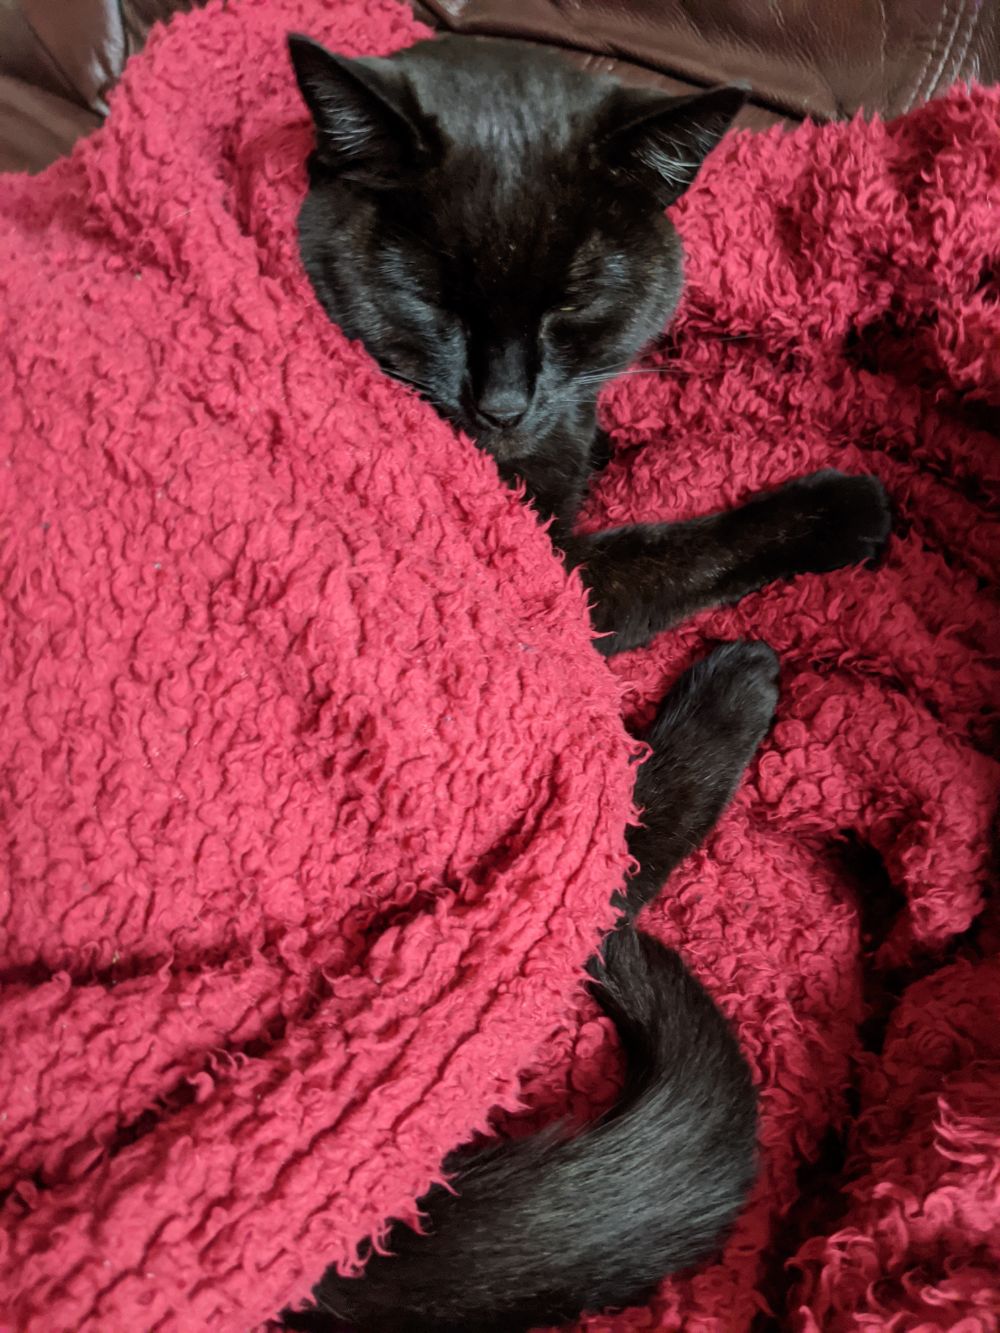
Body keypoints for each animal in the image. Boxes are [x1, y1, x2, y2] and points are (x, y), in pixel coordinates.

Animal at [289, 31, 890, 655]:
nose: (503, 406)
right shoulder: (557, 581)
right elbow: (671, 554)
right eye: (432, 301)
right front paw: (844, 508)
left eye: (573, 303)